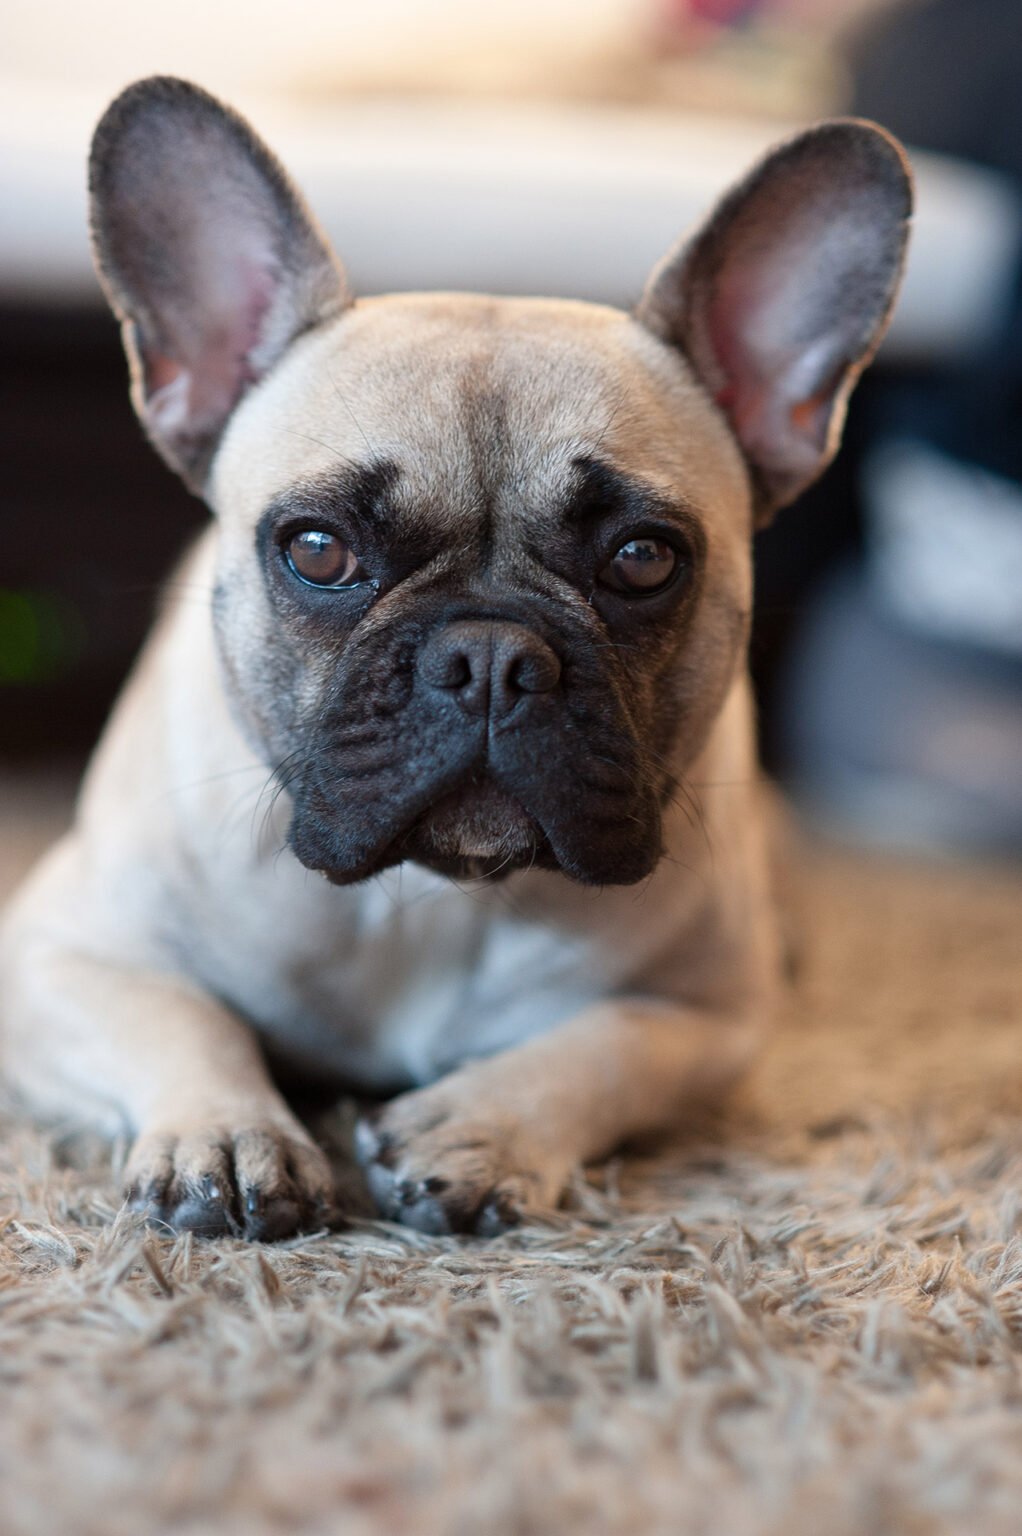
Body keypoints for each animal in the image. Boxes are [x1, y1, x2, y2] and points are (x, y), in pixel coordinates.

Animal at [0, 77, 909, 1241]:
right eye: (317, 550)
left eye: (643, 560)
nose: (488, 655)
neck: (429, 896)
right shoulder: (60, 953)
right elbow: (179, 1017)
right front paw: (229, 1131)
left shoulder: (712, 1017)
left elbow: (609, 1047)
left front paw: (483, 1125)